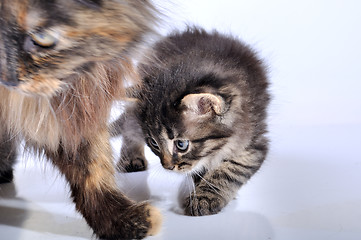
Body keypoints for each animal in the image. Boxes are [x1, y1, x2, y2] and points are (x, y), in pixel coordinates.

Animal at [114, 27, 268, 216]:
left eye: (181, 145)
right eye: (154, 143)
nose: (167, 166)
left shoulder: (254, 140)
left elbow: (230, 171)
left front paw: (205, 196)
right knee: (129, 127)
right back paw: (131, 159)